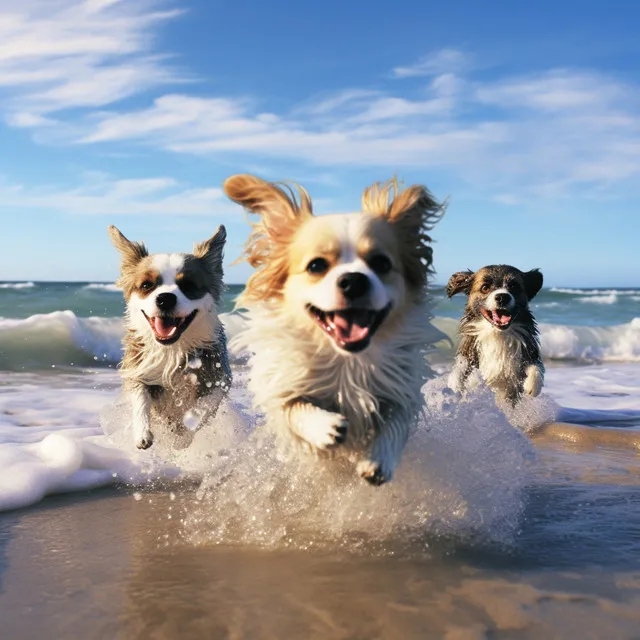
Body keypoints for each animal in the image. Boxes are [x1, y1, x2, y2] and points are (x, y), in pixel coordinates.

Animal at [109, 225, 231, 450]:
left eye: (189, 286)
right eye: (146, 285)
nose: (165, 298)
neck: (172, 349)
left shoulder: (219, 376)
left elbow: (204, 406)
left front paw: (185, 434)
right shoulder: (137, 365)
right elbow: (139, 396)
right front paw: (142, 433)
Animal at [225, 175, 444, 484]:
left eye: (381, 263)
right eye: (316, 265)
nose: (354, 280)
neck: (345, 360)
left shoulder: (402, 388)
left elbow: (396, 422)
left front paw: (379, 459)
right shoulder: (280, 387)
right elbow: (292, 406)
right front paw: (323, 426)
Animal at [448, 264, 544, 404]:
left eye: (514, 286)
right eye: (485, 287)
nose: (503, 297)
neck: (497, 334)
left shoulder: (527, 350)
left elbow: (535, 366)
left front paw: (532, 385)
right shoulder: (470, 350)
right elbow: (461, 366)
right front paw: (454, 386)